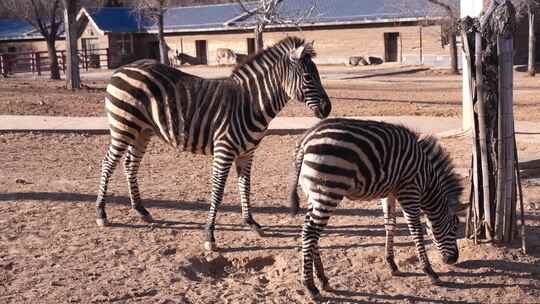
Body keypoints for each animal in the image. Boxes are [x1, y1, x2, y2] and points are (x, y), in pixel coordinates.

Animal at [95, 36, 332, 252]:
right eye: (308, 77)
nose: (328, 108)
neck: (250, 103)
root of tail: (123, 68)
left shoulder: (247, 153)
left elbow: (245, 186)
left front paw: (251, 223)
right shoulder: (224, 150)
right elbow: (217, 192)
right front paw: (209, 235)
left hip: (142, 131)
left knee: (130, 165)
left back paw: (141, 210)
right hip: (123, 126)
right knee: (107, 164)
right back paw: (101, 214)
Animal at [288, 117, 466, 300]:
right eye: (455, 227)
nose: (454, 259)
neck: (427, 179)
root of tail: (305, 140)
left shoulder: (390, 192)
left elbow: (390, 224)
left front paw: (392, 264)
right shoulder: (409, 190)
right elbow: (416, 229)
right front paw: (429, 271)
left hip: (313, 194)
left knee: (311, 231)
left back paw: (323, 279)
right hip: (328, 190)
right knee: (310, 232)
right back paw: (310, 286)